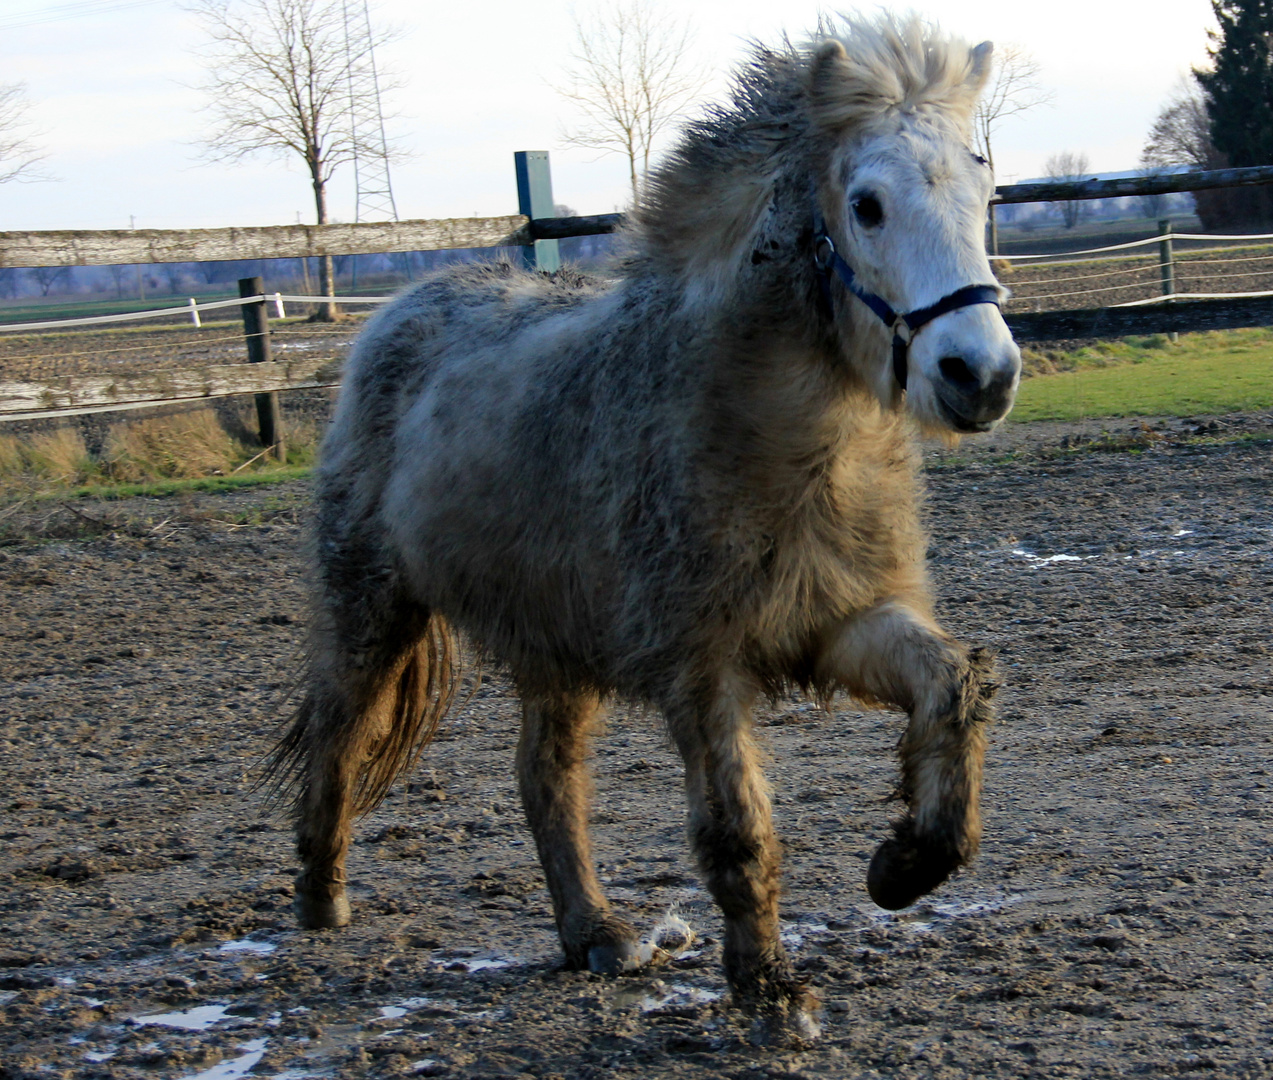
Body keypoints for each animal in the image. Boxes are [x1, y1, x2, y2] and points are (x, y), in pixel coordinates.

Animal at [271, 14, 1023, 1044]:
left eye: (984, 188)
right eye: (866, 205)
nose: (978, 375)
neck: (771, 438)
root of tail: (398, 312)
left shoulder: (838, 623)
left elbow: (956, 687)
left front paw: (905, 865)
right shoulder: (699, 667)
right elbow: (738, 831)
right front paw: (770, 992)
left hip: (552, 647)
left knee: (543, 780)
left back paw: (594, 933)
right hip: (372, 610)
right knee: (340, 733)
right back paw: (321, 896)